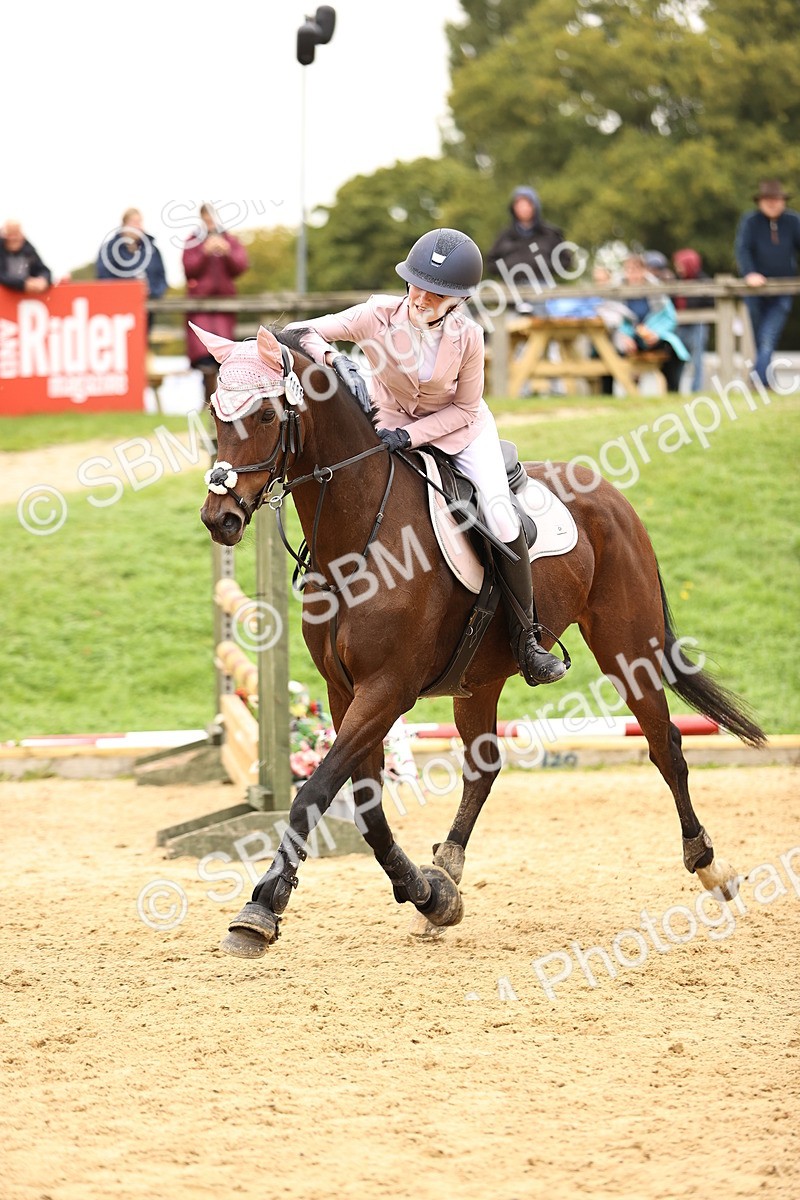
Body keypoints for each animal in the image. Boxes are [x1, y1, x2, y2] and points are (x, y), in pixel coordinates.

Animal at [197, 323, 765, 960]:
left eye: (266, 415)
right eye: (216, 413)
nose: (219, 518)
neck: (359, 535)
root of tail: (609, 492)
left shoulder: (386, 689)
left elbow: (313, 792)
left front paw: (259, 910)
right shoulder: (345, 692)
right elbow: (365, 807)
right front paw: (428, 895)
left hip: (627, 649)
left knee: (663, 742)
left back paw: (710, 866)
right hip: (480, 676)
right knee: (483, 766)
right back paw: (447, 870)